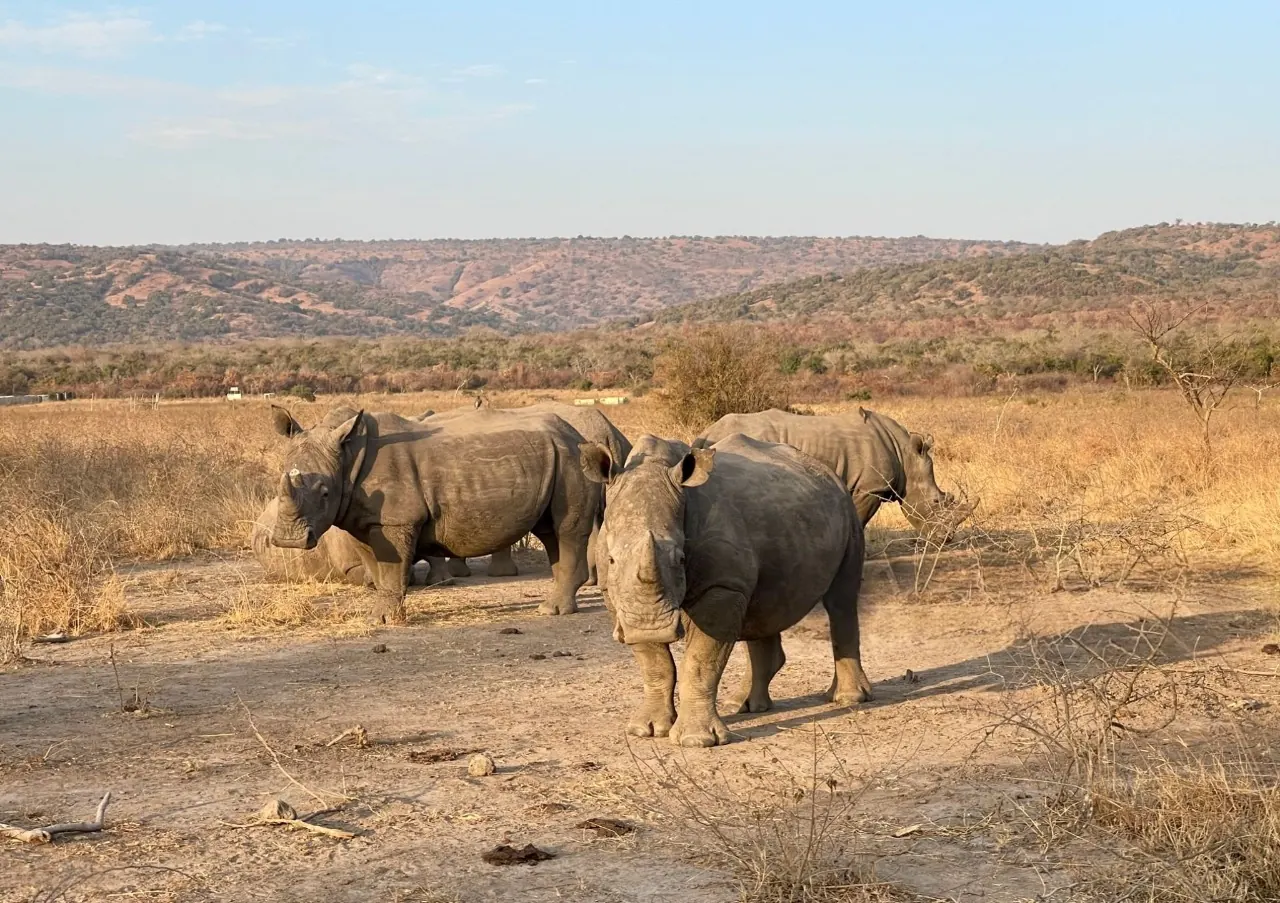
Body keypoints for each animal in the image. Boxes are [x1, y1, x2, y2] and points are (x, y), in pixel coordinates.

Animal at [269, 405, 600, 623]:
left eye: (325, 493)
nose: (288, 540)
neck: (348, 458)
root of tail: (577, 434)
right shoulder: (361, 521)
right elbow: (377, 570)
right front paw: (378, 617)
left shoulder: (396, 520)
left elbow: (391, 571)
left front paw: (386, 621)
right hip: (557, 458)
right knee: (549, 532)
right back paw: (555, 605)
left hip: (572, 459)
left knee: (566, 530)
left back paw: (551, 611)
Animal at [583, 432, 872, 748]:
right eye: (612, 560)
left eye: (680, 559)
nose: (652, 627)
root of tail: (827, 471)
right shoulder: (614, 595)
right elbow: (655, 663)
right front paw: (646, 730)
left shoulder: (722, 586)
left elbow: (700, 661)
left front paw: (696, 740)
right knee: (764, 607)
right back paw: (742, 706)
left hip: (848, 508)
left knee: (841, 600)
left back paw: (847, 699)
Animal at [697, 407, 974, 536]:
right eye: (936, 501)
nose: (946, 539)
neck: (905, 455)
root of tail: (707, 432)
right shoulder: (870, 488)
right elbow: (860, 520)